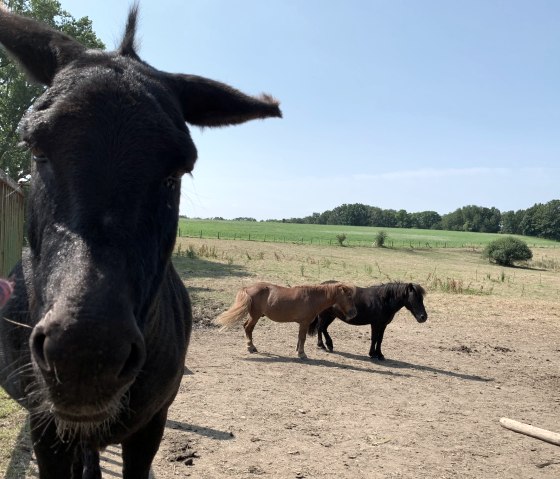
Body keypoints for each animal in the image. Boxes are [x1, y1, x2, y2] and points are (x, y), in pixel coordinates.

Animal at [217, 284, 356, 358]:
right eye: (348, 296)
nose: (354, 313)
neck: (312, 298)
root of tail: (248, 288)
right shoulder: (304, 323)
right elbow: (303, 338)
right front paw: (302, 354)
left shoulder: (302, 324)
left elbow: (299, 338)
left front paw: (298, 351)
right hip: (255, 316)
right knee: (248, 328)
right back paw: (250, 347)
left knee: (247, 328)